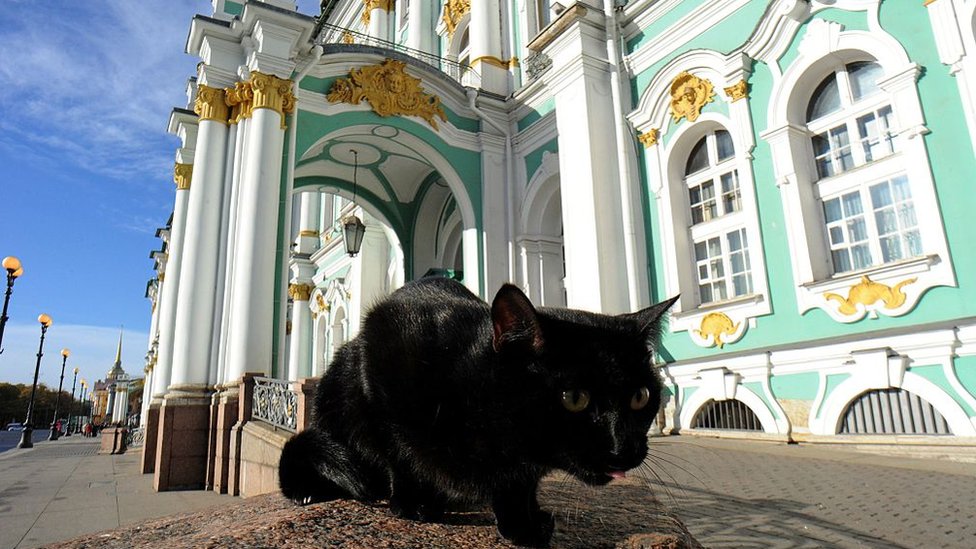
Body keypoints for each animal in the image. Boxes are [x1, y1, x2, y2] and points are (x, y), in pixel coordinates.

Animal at [278, 280, 680, 544]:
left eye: (641, 396)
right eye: (574, 398)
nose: (624, 448)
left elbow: (519, 484)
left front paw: (523, 523)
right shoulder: (382, 348)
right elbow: (398, 451)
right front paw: (412, 504)